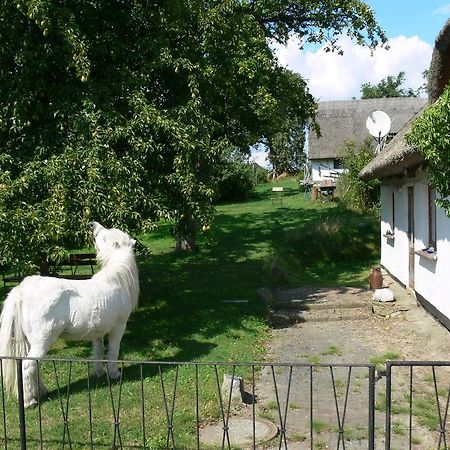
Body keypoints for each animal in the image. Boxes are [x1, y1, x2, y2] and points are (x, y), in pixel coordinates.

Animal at [0, 221, 140, 408]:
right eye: (104, 235)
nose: (93, 225)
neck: (115, 281)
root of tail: (21, 290)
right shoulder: (118, 327)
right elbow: (113, 350)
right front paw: (115, 374)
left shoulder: (98, 331)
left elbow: (99, 350)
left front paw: (99, 373)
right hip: (41, 341)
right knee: (28, 366)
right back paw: (29, 401)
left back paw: (41, 391)